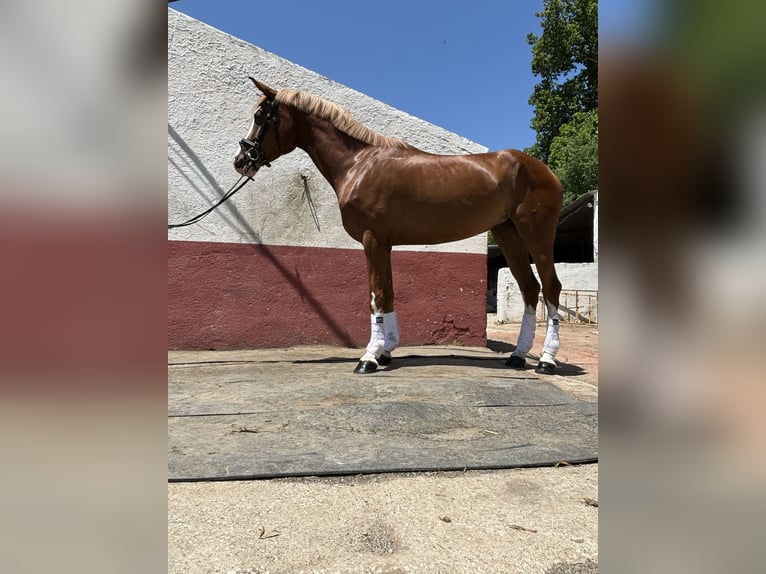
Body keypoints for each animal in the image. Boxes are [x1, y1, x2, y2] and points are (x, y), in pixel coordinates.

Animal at [234, 80, 564, 378]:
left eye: (261, 117)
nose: (241, 160)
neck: (358, 164)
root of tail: (545, 170)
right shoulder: (385, 243)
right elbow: (388, 293)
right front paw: (386, 351)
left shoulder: (372, 239)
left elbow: (376, 294)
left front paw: (369, 357)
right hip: (508, 235)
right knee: (530, 289)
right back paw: (518, 355)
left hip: (537, 235)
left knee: (551, 288)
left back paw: (546, 360)